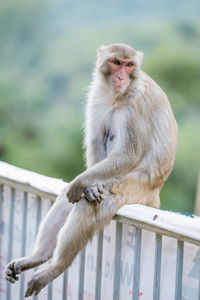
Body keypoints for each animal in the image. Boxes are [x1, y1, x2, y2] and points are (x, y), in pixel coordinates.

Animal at [4, 43, 177, 296]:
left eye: (130, 65)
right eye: (116, 62)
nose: (121, 76)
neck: (118, 95)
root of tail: (155, 193)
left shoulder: (137, 104)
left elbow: (128, 154)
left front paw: (81, 185)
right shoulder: (97, 97)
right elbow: (96, 141)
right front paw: (88, 186)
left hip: (133, 187)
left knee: (90, 205)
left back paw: (55, 267)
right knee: (70, 199)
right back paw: (39, 256)